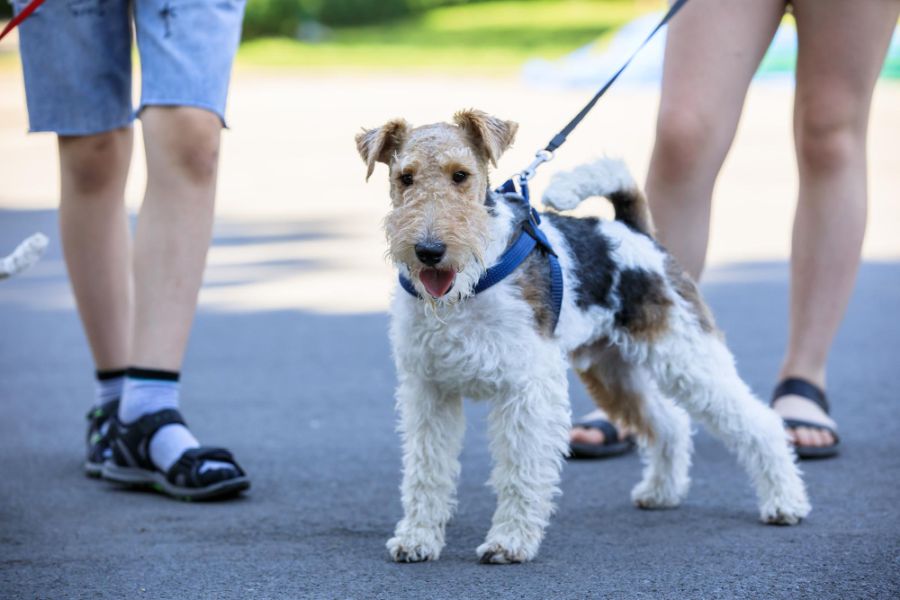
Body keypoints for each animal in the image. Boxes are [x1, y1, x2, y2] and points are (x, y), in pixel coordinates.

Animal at [356, 110, 812, 564]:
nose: (430, 251)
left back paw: (785, 502)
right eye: (405, 177)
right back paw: (661, 492)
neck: (470, 286)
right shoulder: (428, 390)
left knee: (760, 423)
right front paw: (417, 539)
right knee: (670, 424)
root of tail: (634, 233)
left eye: (461, 175)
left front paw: (510, 541)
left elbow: (520, 469)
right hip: (614, 373)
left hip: (686, 356)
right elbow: (426, 470)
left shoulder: (527, 388)